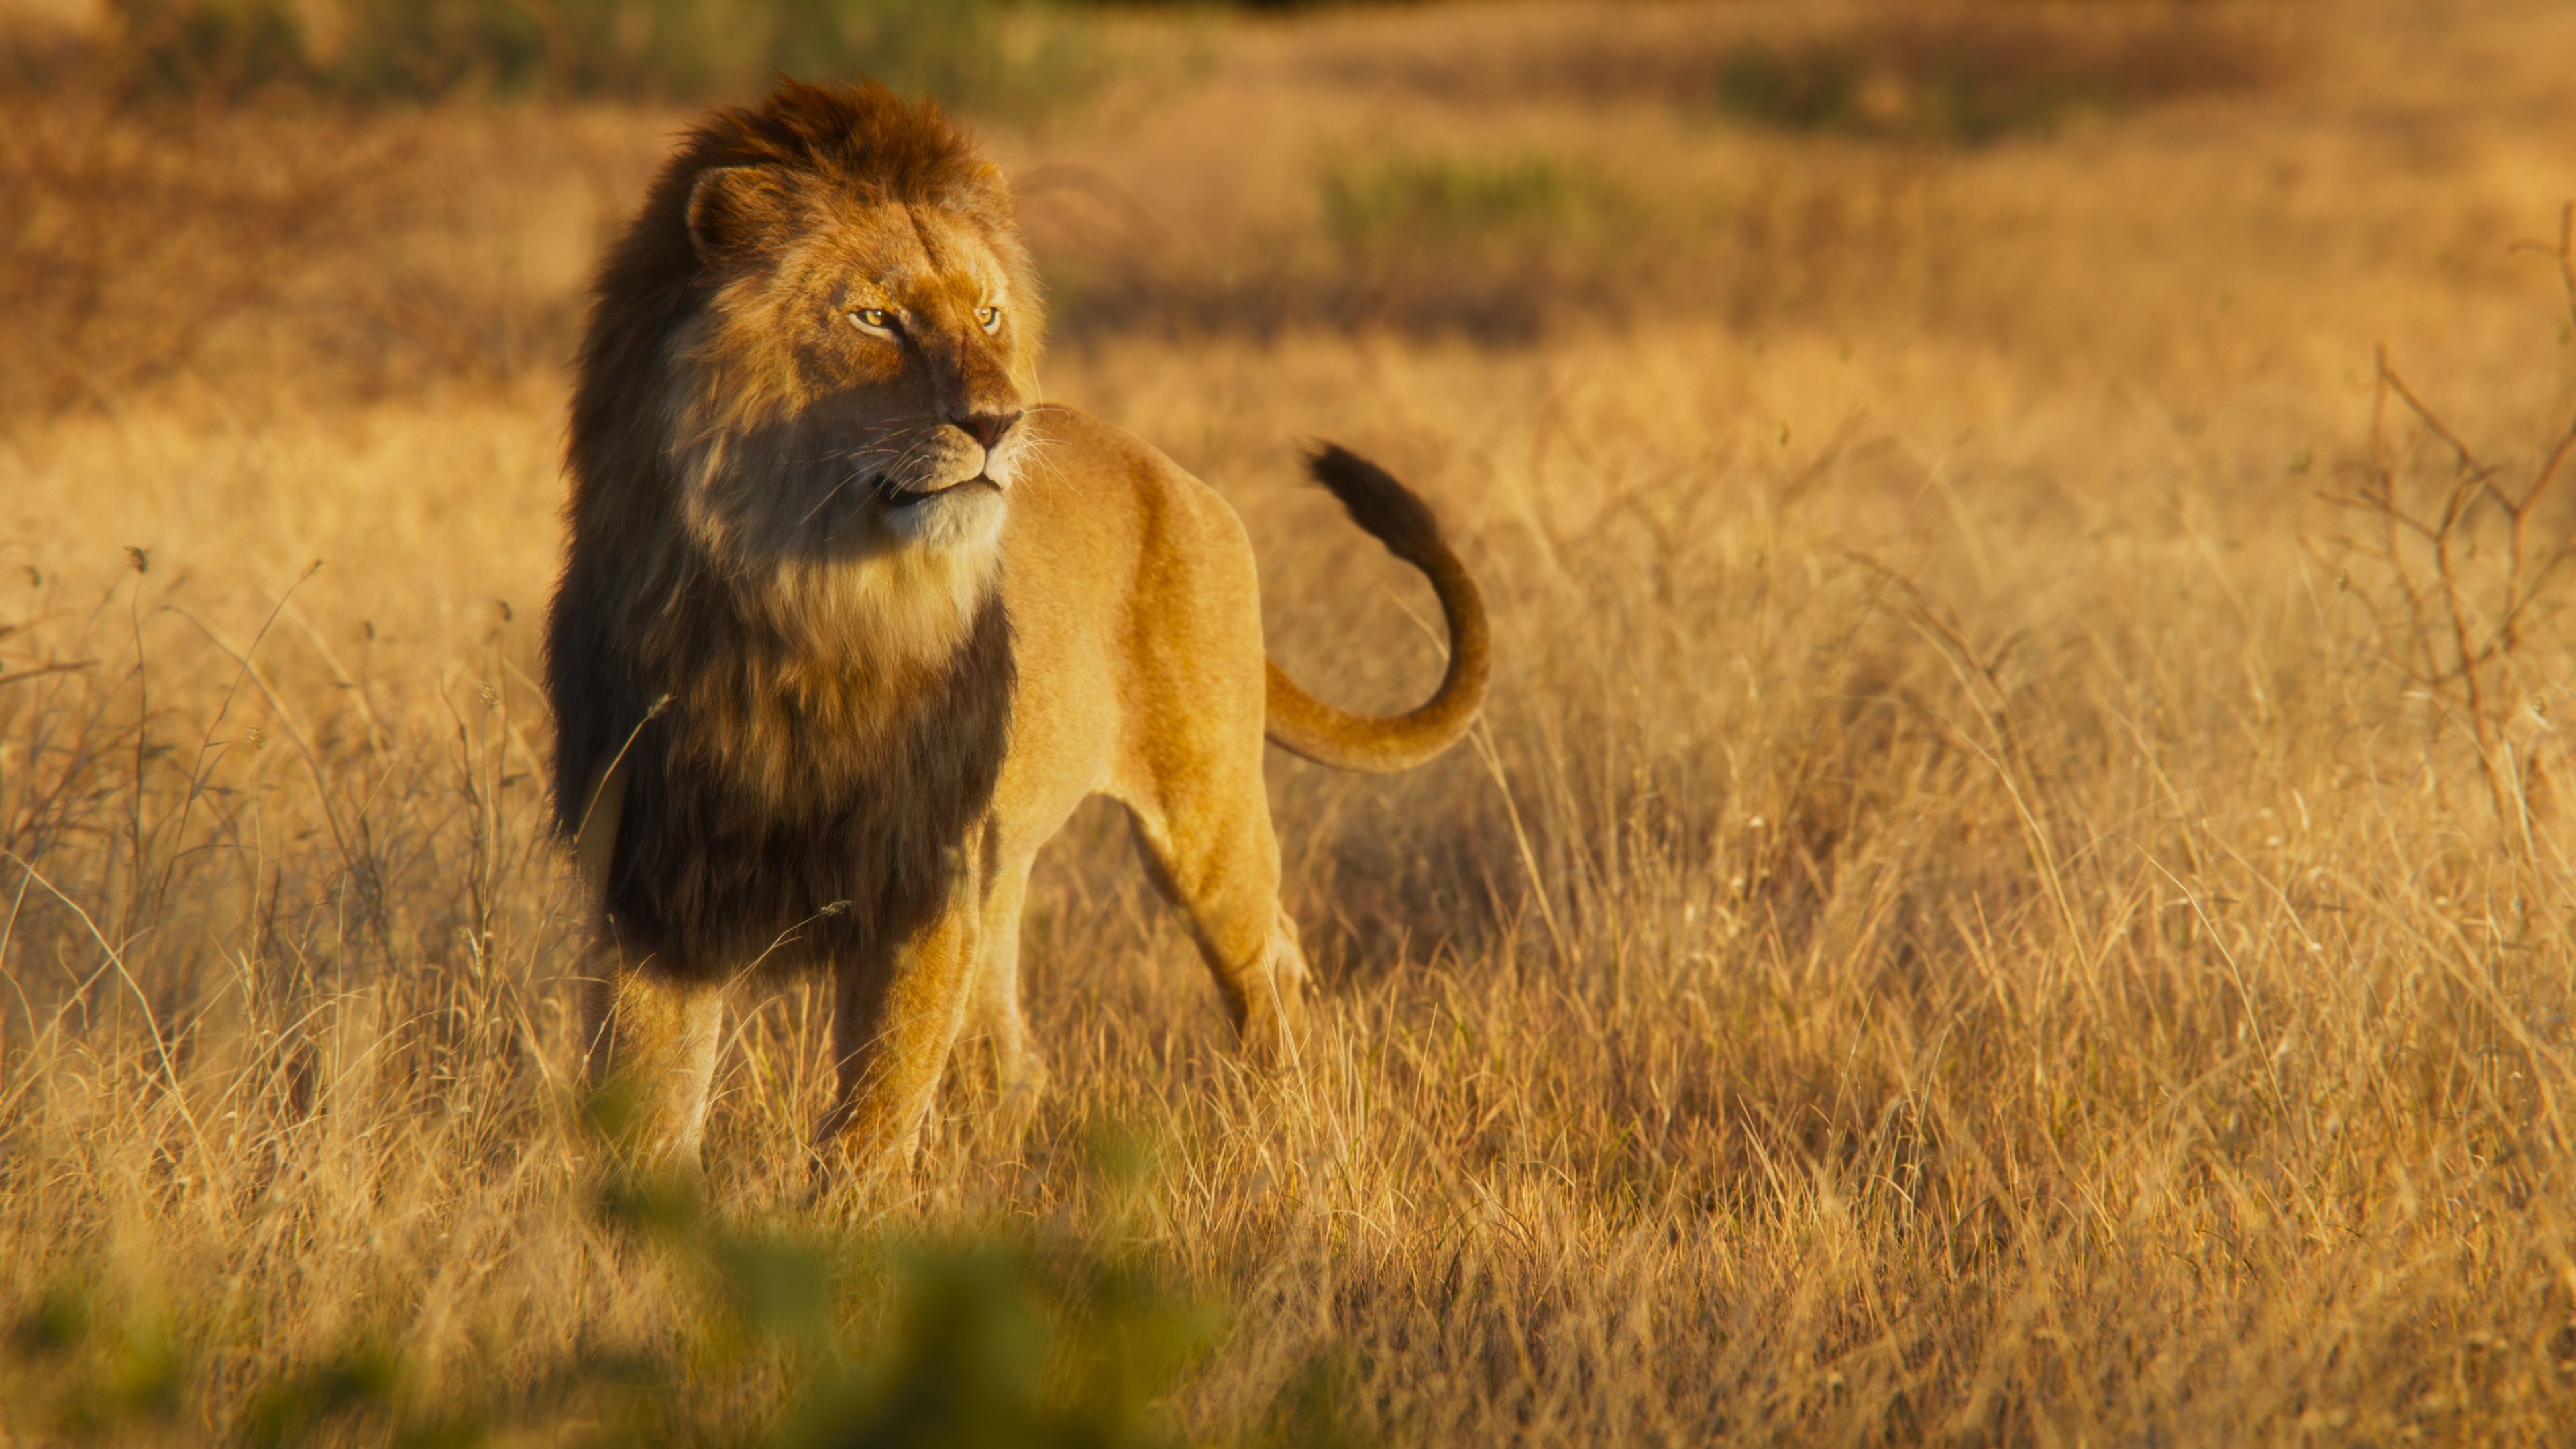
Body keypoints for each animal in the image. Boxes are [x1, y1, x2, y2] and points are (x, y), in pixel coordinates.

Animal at [545, 78, 1488, 1177]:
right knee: (1017, 1058)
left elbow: (870, 1126)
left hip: (1206, 818)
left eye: (988, 313)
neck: (801, 613)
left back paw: (1289, 1135)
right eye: (877, 318)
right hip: (1007, 869)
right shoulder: (657, 892)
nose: (998, 424)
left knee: (1271, 967)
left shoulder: (921, 885)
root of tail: (1175, 474)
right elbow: (647, 1114)